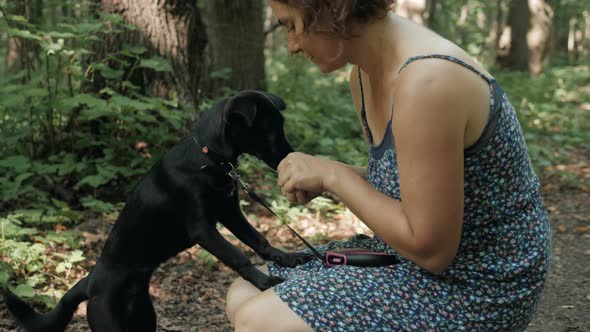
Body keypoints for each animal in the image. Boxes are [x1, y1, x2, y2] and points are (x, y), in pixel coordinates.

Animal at [3, 89, 314, 330]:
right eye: (270, 130)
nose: (291, 156)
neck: (209, 160)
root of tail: (91, 281)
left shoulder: (230, 213)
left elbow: (258, 239)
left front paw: (287, 258)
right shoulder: (203, 228)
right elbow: (237, 254)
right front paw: (264, 281)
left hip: (144, 318)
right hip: (109, 321)